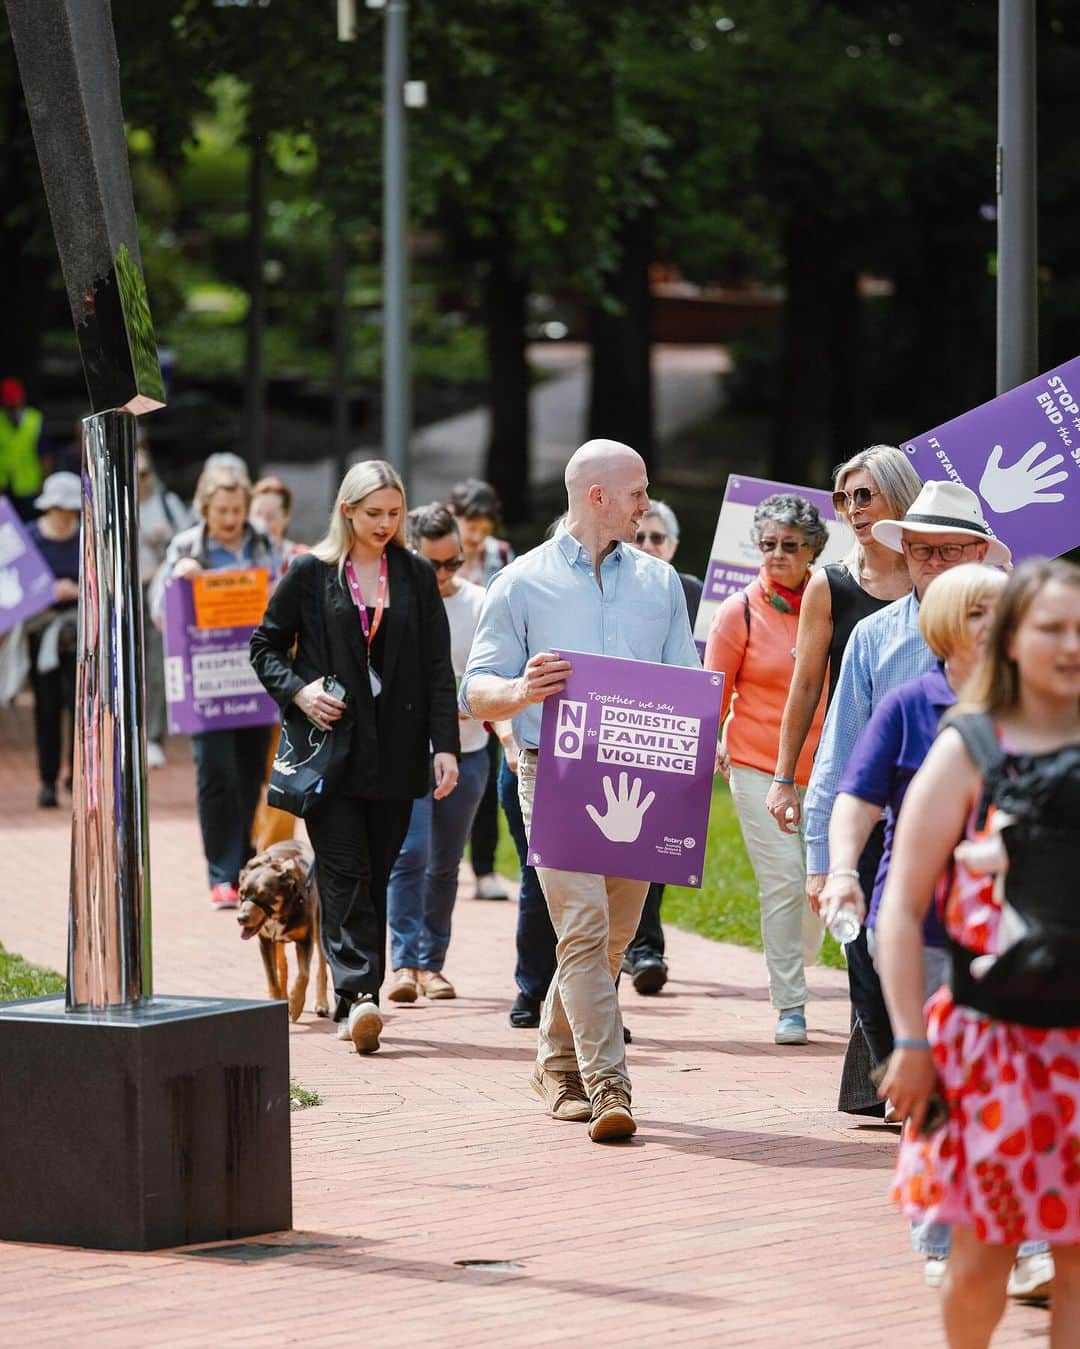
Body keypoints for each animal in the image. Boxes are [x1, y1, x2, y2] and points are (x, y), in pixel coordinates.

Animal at [238, 836, 328, 1014]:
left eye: (263, 895)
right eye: (241, 893)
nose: (241, 918)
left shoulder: (305, 940)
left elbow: (304, 975)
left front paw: (296, 1005)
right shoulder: (265, 942)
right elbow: (272, 978)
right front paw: (278, 1001)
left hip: (320, 929)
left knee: (322, 967)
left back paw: (321, 1003)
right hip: (277, 942)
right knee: (283, 967)